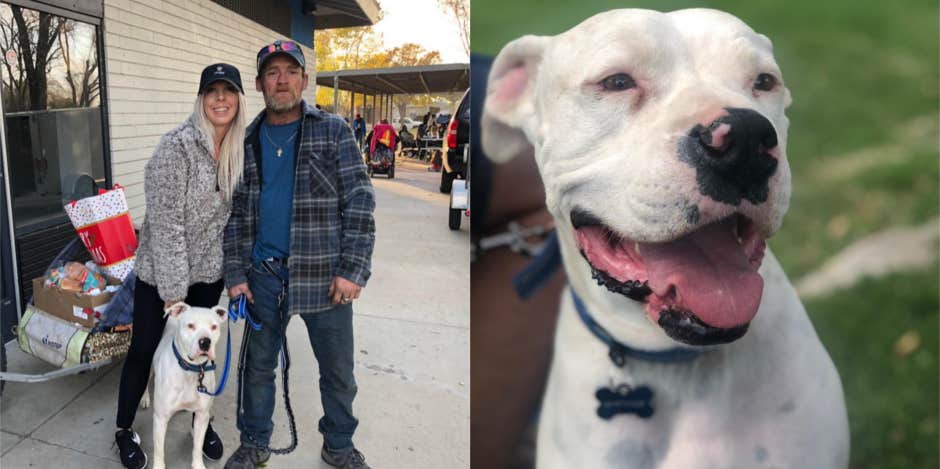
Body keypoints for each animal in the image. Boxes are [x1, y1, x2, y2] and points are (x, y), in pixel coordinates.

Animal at [151, 302, 229, 468]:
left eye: (214, 327)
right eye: (191, 325)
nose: (205, 342)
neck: (192, 370)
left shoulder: (202, 416)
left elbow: (197, 447)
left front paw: (198, 465)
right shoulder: (160, 418)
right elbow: (159, 451)